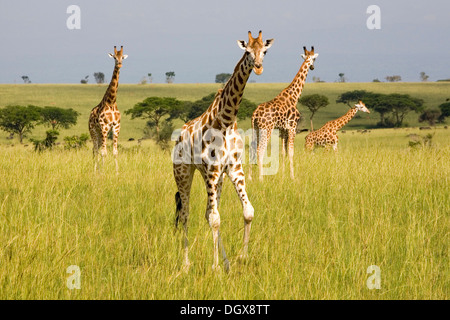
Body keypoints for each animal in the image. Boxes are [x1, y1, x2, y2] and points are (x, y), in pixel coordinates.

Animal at [173, 30, 274, 272]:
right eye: (247, 51)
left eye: (264, 51)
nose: (258, 67)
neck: (226, 121)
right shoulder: (212, 170)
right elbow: (215, 219)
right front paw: (215, 267)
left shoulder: (234, 169)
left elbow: (248, 212)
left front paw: (241, 258)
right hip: (184, 173)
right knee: (185, 214)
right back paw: (186, 264)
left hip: (214, 178)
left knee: (207, 211)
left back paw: (225, 262)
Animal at [248, 45, 318, 181]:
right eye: (314, 59)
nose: (313, 67)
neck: (294, 96)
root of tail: (254, 114)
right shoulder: (292, 127)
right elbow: (291, 152)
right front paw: (293, 176)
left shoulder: (283, 129)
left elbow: (283, 152)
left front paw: (283, 175)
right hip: (266, 129)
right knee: (260, 150)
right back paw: (261, 178)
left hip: (256, 128)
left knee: (252, 148)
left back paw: (249, 178)